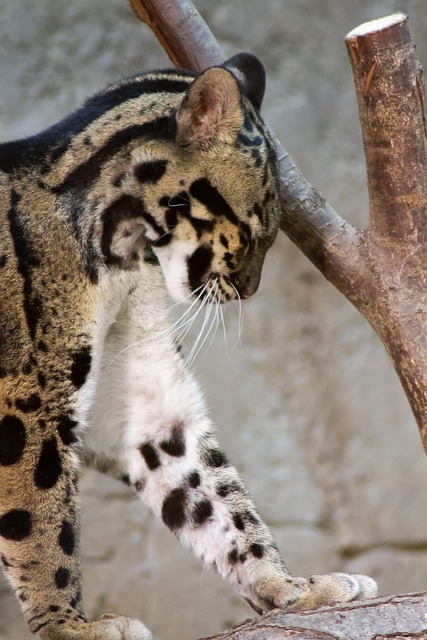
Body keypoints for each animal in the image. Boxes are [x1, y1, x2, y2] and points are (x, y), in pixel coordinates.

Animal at [0, 52, 377, 639]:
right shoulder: (26, 405)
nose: (249, 289)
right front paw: (68, 627)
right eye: (256, 227)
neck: (118, 254)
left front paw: (293, 588)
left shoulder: (146, 401)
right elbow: (39, 521)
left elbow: (216, 500)